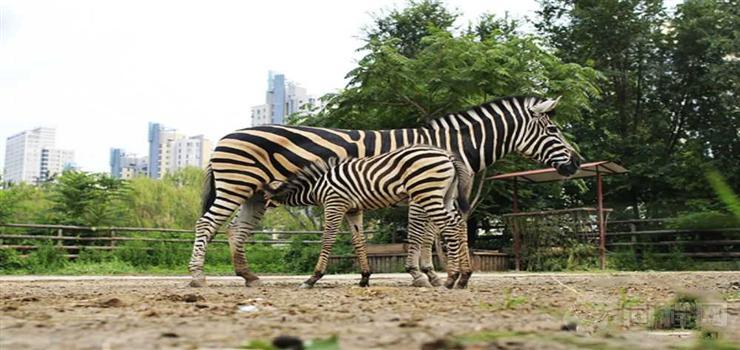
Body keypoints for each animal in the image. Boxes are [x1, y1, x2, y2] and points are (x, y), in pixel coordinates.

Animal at [264, 146, 474, 290]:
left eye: (262, 197)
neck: (317, 185)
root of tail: (447, 156)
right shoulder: (353, 210)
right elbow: (359, 241)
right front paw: (364, 277)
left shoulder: (335, 204)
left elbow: (328, 239)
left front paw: (312, 278)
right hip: (445, 196)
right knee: (458, 224)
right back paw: (461, 278)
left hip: (427, 193)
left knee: (450, 225)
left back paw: (451, 278)